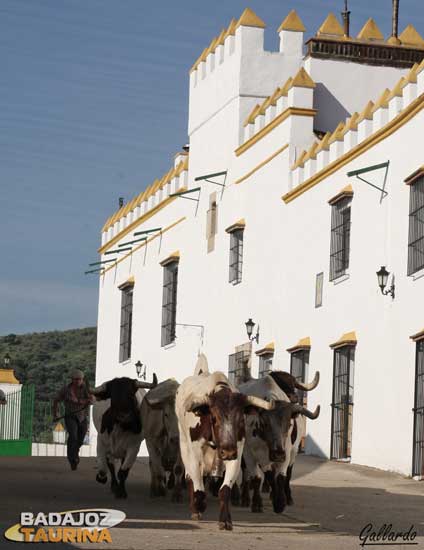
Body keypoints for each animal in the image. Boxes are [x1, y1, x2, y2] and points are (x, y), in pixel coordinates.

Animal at [176, 356, 274, 532]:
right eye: (214, 418)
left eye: (241, 419)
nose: (227, 452)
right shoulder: (195, 453)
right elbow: (197, 484)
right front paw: (199, 506)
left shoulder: (237, 453)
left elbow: (225, 490)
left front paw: (225, 520)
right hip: (184, 445)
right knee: (189, 477)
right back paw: (196, 507)